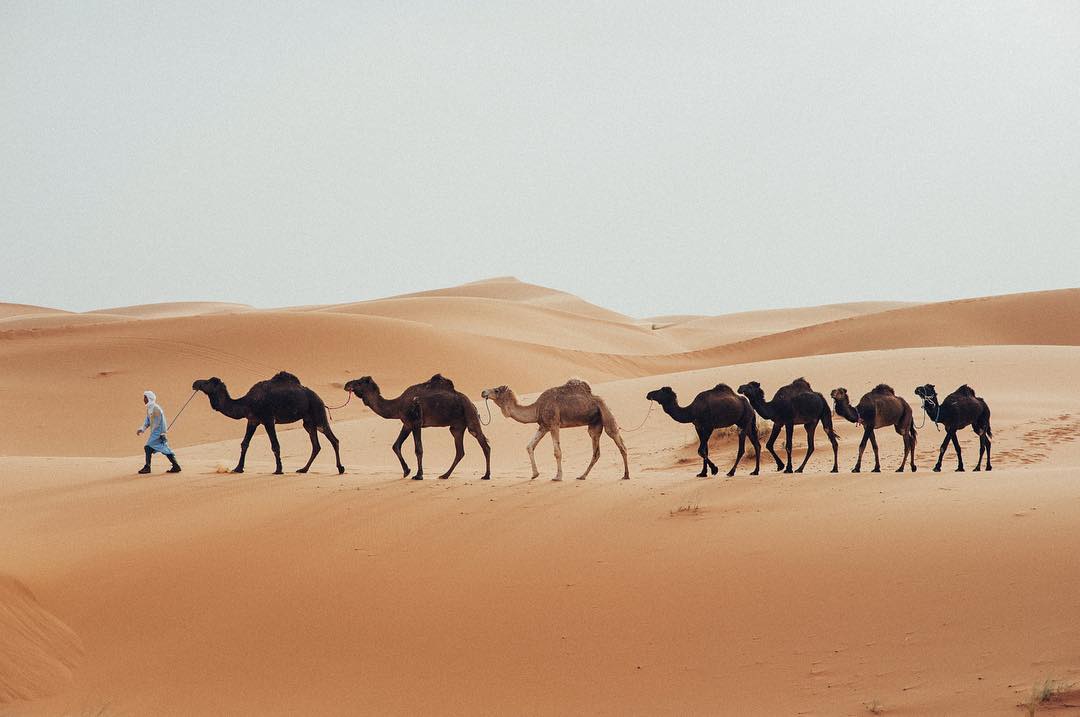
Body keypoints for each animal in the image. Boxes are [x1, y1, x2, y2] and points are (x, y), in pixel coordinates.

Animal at [192, 369, 343, 475]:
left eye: (208, 382)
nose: (195, 383)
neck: (247, 402)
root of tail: (321, 399)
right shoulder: (253, 420)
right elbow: (244, 443)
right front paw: (238, 468)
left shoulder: (268, 419)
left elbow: (275, 445)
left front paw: (278, 470)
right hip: (308, 422)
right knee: (316, 445)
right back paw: (303, 469)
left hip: (318, 414)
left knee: (333, 440)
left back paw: (340, 468)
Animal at [343, 371, 492, 479]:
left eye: (359, 381)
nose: (346, 384)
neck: (397, 405)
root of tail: (472, 404)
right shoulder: (407, 424)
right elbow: (396, 445)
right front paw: (407, 471)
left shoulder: (416, 422)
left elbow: (418, 449)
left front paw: (418, 475)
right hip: (457, 427)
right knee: (460, 451)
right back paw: (445, 475)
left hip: (471, 418)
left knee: (485, 445)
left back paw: (486, 475)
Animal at [477, 380, 630, 481]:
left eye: (496, 390)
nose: (483, 392)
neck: (537, 408)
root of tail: (603, 401)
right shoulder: (544, 426)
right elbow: (529, 446)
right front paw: (535, 474)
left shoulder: (554, 425)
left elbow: (557, 452)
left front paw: (558, 477)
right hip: (594, 424)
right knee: (596, 451)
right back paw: (582, 476)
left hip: (606, 415)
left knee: (620, 443)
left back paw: (626, 475)